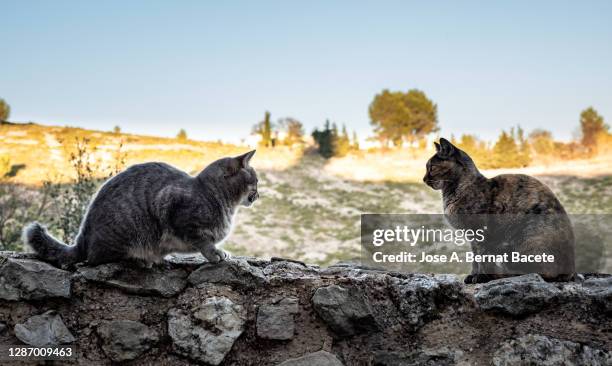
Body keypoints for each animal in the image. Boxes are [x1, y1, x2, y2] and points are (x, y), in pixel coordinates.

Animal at [23, 149, 258, 268]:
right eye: (255, 181)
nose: (258, 195)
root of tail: (82, 239)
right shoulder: (177, 213)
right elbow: (204, 242)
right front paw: (216, 253)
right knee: (95, 259)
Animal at [424, 137, 576, 284]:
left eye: (432, 167)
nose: (424, 179)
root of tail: (571, 272)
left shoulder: (482, 234)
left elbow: (483, 258)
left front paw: (481, 277)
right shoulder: (473, 239)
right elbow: (475, 258)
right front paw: (472, 276)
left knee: (539, 273)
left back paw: (500, 276)